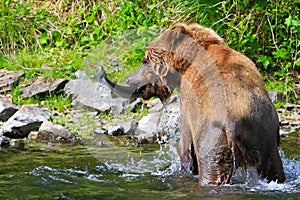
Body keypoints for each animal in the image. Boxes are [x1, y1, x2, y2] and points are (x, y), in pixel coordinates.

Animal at [125, 23, 284, 186]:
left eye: (145, 60)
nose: (129, 79)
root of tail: (234, 123)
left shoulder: (188, 99)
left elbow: (185, 141)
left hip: (212, 136)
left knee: (212, 167)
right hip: (263, 132)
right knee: (274, 169)